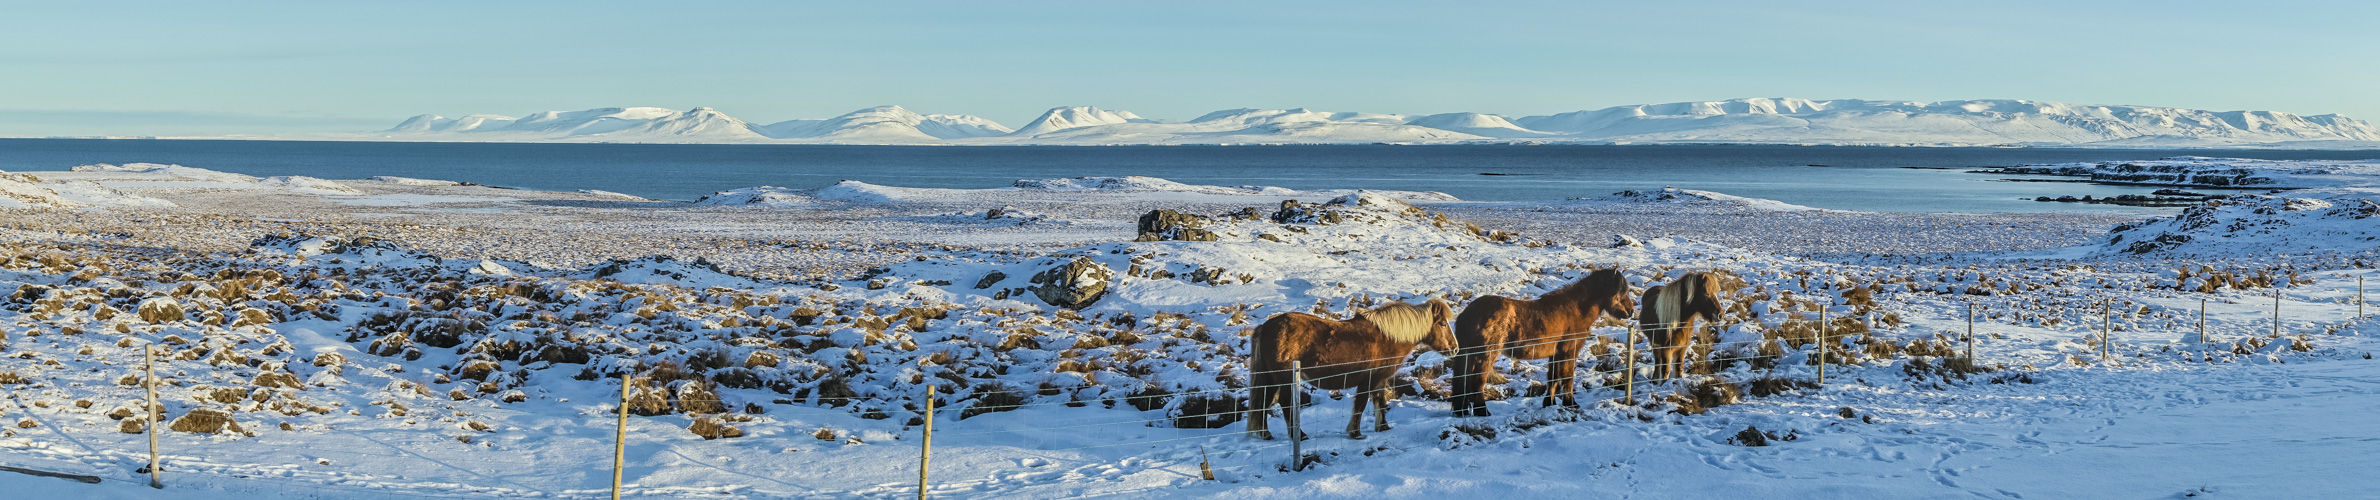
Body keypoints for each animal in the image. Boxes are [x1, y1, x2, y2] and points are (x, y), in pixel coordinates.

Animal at [1256, 298, 1456, 440]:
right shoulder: (1368, 380)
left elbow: (1379, 401)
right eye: (1443, 324)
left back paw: (1265, 434)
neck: (1387, 337)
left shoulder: (1379, 380)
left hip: (1271, 379)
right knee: (1285, 403)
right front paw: (1356, 433)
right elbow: (1361, 404)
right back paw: (1299, 435)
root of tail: (1265, 327)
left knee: (1264, 403)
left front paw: (1383, 427)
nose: (1455, 348)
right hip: (1284, 379)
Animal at [1447, 267, 1637, 416]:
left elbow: (1553, 378)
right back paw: (1483, 411)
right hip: (1486, 355)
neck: (1576, 309)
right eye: (1622, 292)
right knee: (1477, 382)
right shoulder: (1569, 351)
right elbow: (1567, 377)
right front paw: (1571, 403)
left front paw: (1549, 403)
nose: (1631, 311)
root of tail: (1468, 313)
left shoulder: (1556, 354)